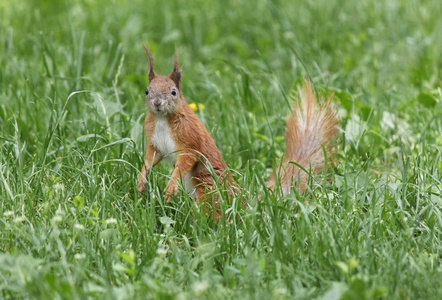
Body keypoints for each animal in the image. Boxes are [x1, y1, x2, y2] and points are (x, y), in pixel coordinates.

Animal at [137, 44, 338, 218]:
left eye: (173, 92)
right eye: (147, 91)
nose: (157, 103)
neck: (163, 120)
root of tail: (243, 206)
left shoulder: (190, 138)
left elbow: (185, 161)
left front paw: (171, 186)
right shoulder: (155, 142)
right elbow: (150, 158)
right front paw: (141, 179)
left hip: (209, 190)